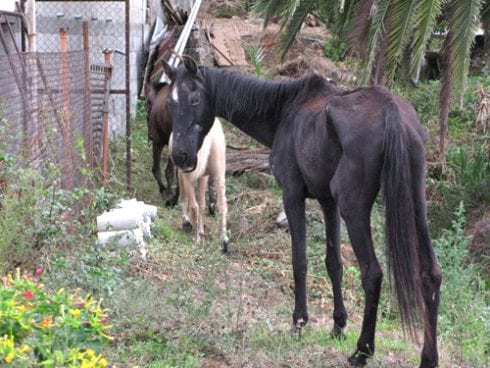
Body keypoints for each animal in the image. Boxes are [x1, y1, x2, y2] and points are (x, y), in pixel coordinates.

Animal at [163, 57, 442, 368]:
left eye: (194, 99)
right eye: (170, 103)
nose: (181, 156)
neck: (285, 109)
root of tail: (390, 108)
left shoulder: (293, 195)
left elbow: (300, 261)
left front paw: (299, 322)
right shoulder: (328, 202)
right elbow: (334, 263)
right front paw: (338, 325)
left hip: (355, 209)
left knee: (373, 274)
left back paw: (362, 350)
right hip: (413, 204)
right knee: (431, 274)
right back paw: (428, 358)